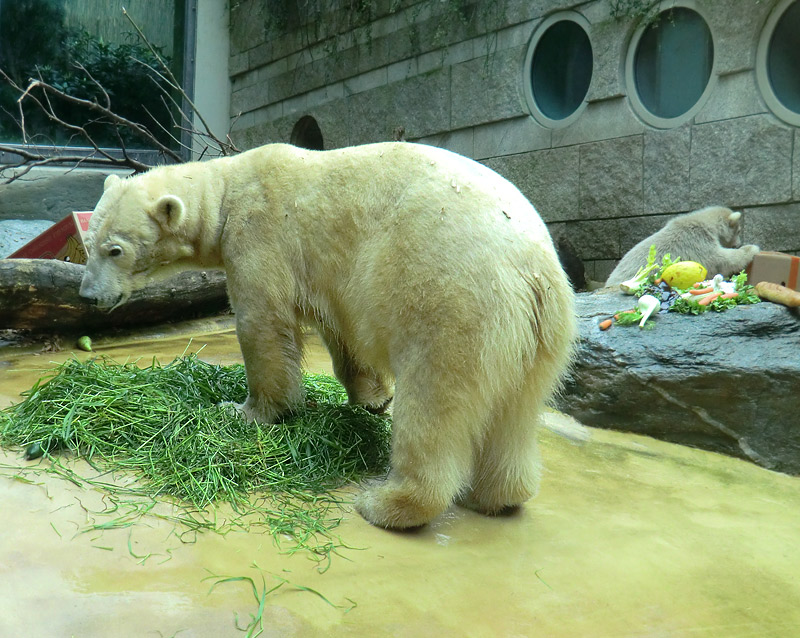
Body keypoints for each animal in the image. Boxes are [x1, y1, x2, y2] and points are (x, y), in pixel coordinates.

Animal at [81, 144, 576, 528]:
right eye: (89, 244)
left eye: (115, 250)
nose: (87, 295)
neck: (227, 188)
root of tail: (529, 270)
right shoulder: (329, 277)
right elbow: (342, 334)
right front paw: (371, 397)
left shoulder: (261, 234)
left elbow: (264, 323)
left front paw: (247, 411)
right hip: (541, 336)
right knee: (516, 412)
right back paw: (499, 496)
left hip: (450, 302)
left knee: (434, 404)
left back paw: (387, 504)